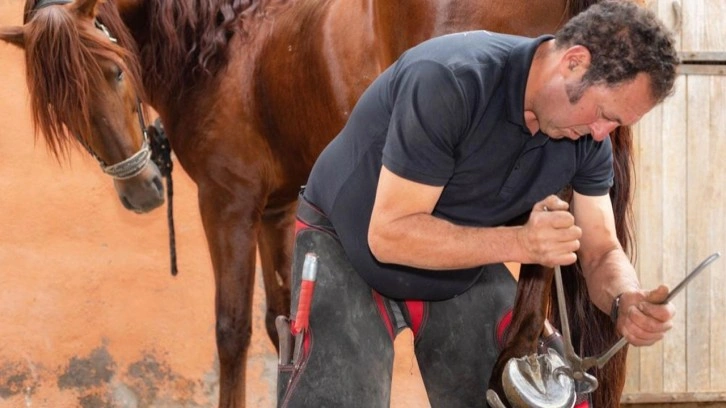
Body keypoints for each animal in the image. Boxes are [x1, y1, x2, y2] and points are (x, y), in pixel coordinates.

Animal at [0, 0, 636, 406]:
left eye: (114, 71)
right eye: (60, 109)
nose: (139, 192)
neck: (223, 46)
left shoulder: (227, 203)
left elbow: (231, 331)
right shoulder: (276, 210)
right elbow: (281, 319)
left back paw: (519, 352)